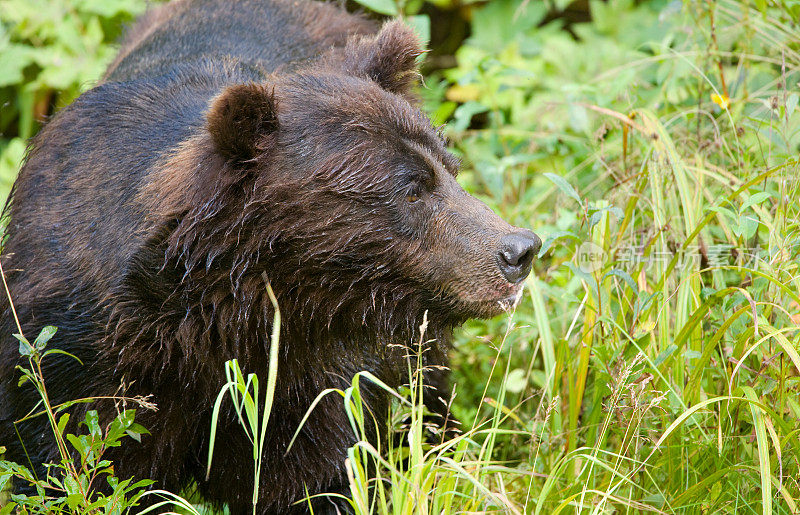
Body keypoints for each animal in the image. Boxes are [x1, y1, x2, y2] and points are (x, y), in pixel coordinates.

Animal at [0, 1, 540, 512]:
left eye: (449, 169)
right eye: (411, 188)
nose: (520, 248)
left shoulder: (304, 380)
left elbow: (314, 478)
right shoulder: (76, 356)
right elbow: (68, 465)